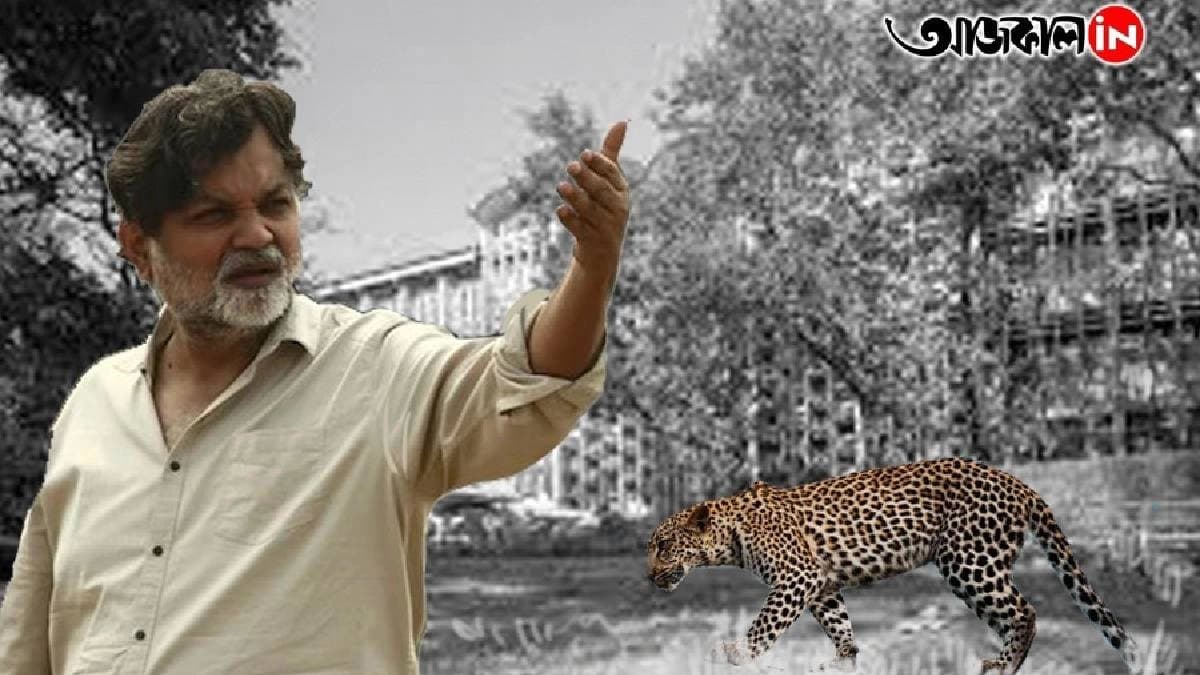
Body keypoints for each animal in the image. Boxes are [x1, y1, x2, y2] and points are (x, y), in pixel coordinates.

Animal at [646, 457, 1139, 674]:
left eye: (664, 546)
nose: (648, 576)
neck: (731, 533)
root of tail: (1018, 483)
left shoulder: (796, 578)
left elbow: (764, 626)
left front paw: (734, 655)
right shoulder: (821, 585)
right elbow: (840, 626)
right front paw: (842, 661)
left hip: (969, 562)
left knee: (1025, 612)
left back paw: (1002, 666)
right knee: (1014, 615)